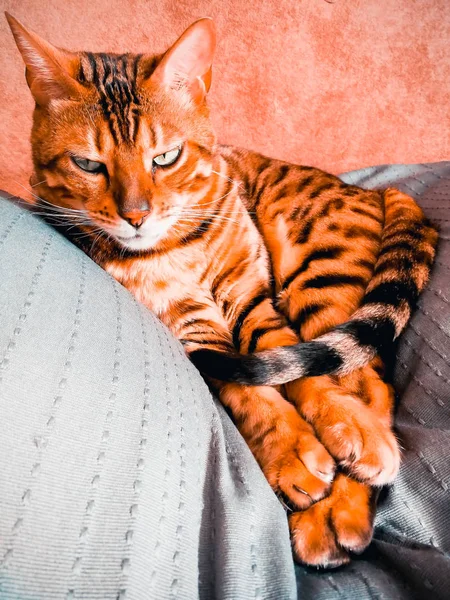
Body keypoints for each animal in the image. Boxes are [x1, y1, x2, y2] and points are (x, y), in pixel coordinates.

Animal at [5, 12, 438, 568]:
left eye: (165, 157)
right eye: (88, 165)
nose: (136, 216)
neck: (176, 246)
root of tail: (378, 189)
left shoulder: (252, 299)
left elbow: (302, 371)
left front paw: (350, 429)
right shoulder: (191, 326)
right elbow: (250, 391)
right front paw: (295, 454)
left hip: (316, 275)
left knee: (366, 381)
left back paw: (342, 498)